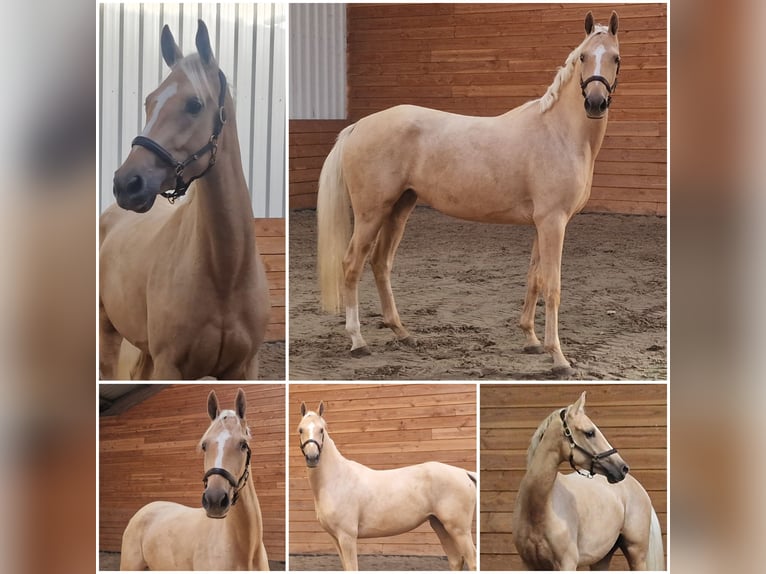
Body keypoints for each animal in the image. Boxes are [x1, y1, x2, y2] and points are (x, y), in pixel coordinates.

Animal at [100, 20, 270, 380]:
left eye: (194, 104)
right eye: (149, 101)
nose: (126, 183)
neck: (225, 273)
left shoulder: (243, 366)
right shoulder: (170, 365)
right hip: (107, 328)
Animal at [297, 402, 477, 570]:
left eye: (321, 430)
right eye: (300, 430)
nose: (312, 457)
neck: (336, 479)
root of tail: (464, 473)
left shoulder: (347, 536)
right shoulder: (335, 538)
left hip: (459, 530)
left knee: (472, 561)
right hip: (440, 526)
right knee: (456, 561)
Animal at [317, 11, 622, 377]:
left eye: (616, 59)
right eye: (583, 57)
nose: (595, 103)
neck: (559, 133)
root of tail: (358, 126)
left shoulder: (542, 224)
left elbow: (533, 278)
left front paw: (531, 340)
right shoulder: (553, 222)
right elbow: (553, 285)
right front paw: (559, 358)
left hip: (399, 208)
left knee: (380, 262)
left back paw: (402, 332)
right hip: (370, 213)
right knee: (352, 264)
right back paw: (358, 341)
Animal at [512, 391, 664, 570]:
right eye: (590, 432)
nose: (622, 468)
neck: (539, 510)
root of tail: (638, 487)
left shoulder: (567, 563)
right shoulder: (528, 564)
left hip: (636, 553)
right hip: (601, 557)